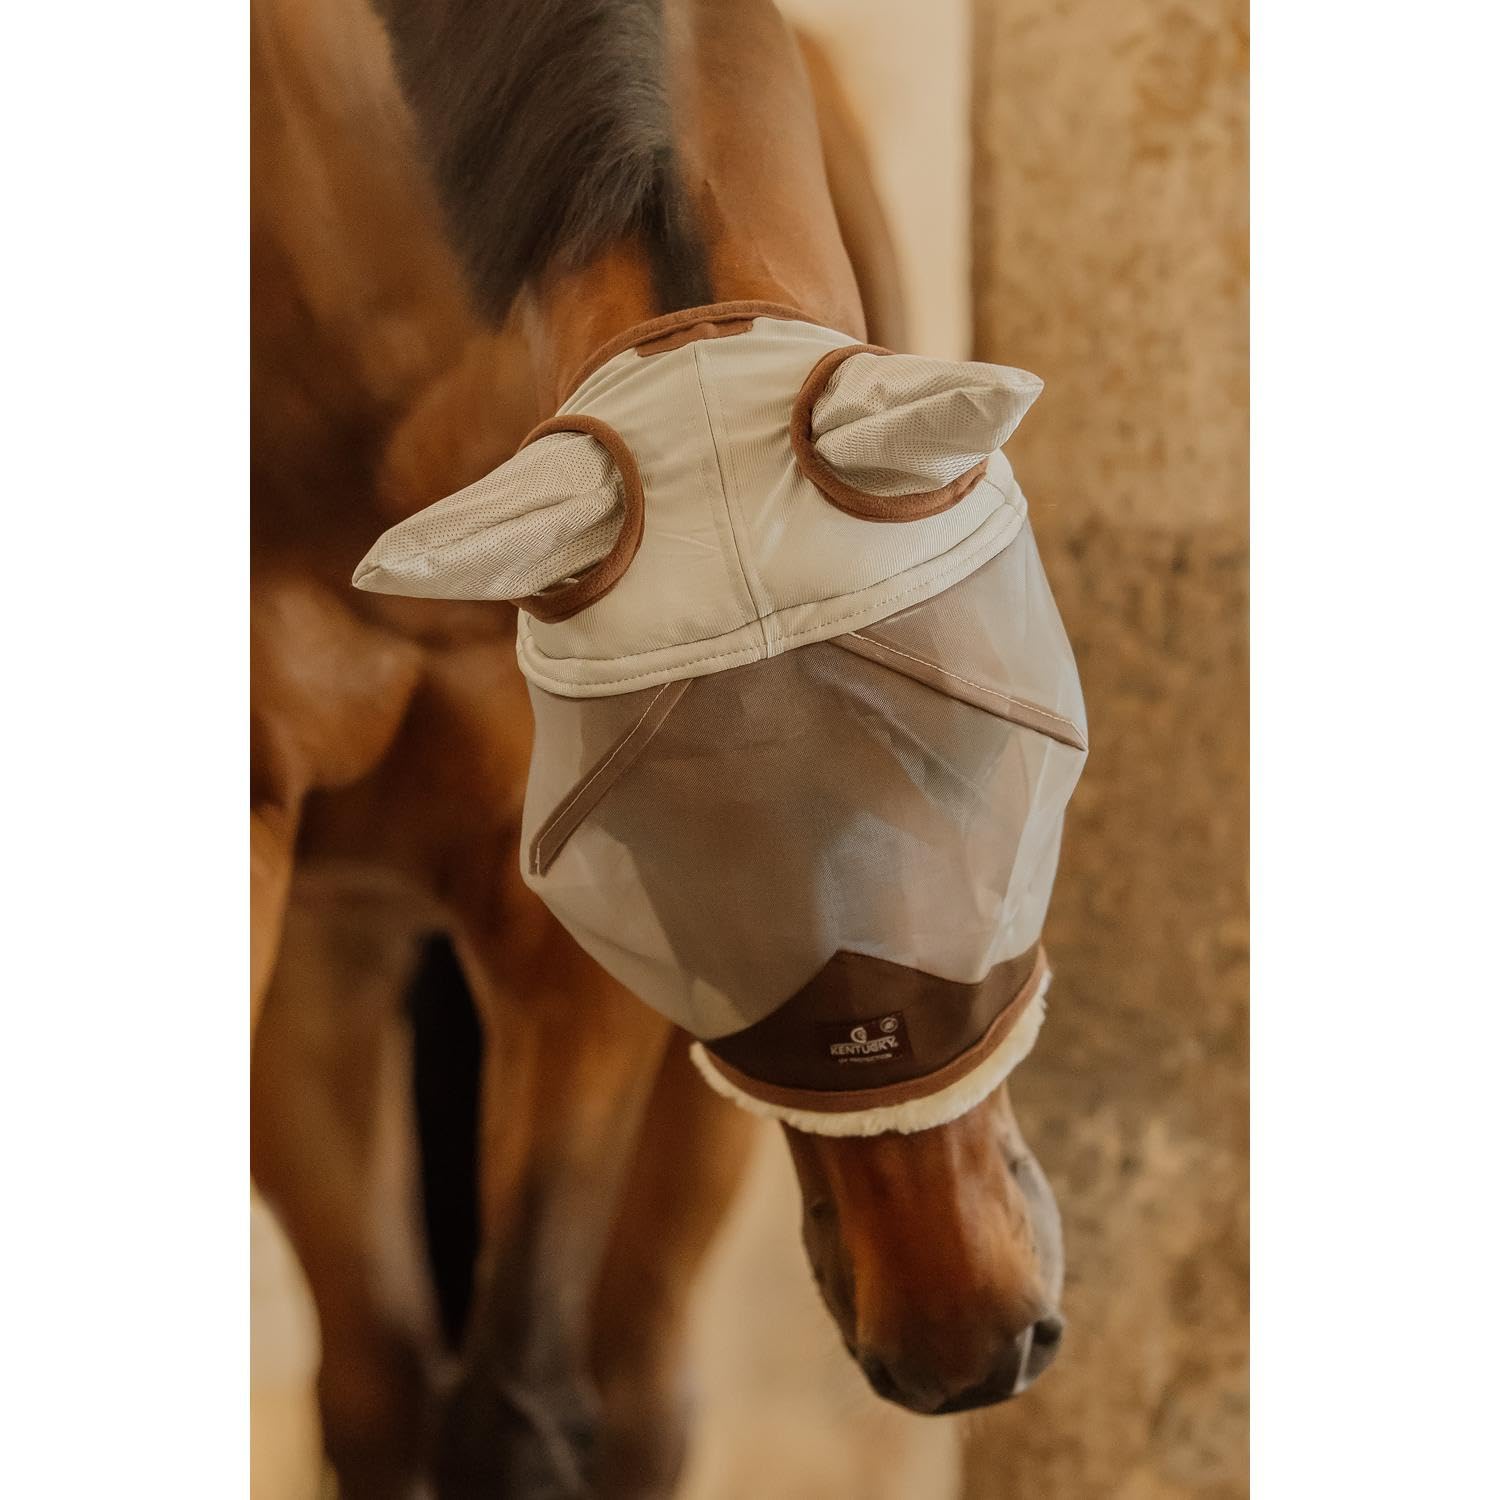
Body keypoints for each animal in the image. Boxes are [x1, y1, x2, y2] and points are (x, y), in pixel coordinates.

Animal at [251, 2, 1069, 1495]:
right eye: (680, 881)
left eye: (994, 766)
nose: (967, 1332)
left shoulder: (549, 933)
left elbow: (520, 1398)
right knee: (376, 1382)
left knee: (631, 1397)